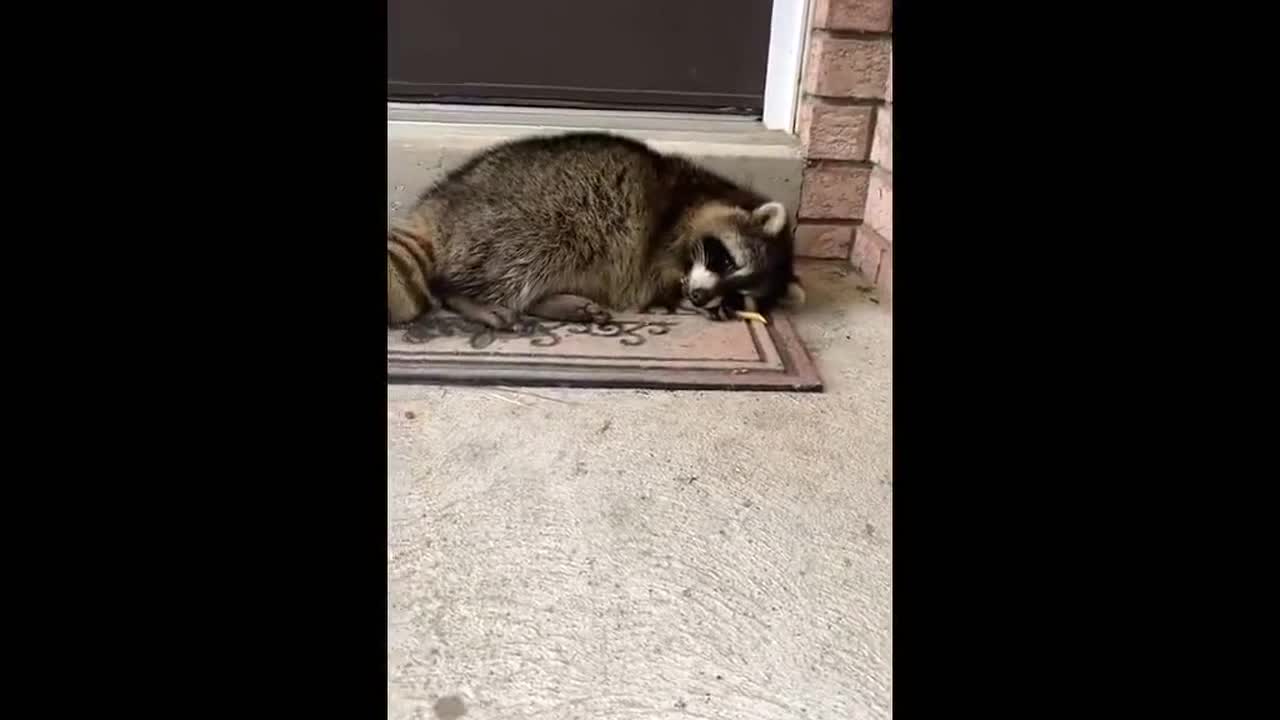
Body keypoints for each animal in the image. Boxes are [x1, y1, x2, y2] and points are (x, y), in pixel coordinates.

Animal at [384, 130, 803, 326]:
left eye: (737, 296)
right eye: (729, 262)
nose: (700, 298)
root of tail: (436, 205)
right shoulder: (666, 232)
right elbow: (655, 276)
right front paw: (672, 296)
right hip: (524, 223)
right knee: (515, 264)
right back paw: (465, 297)